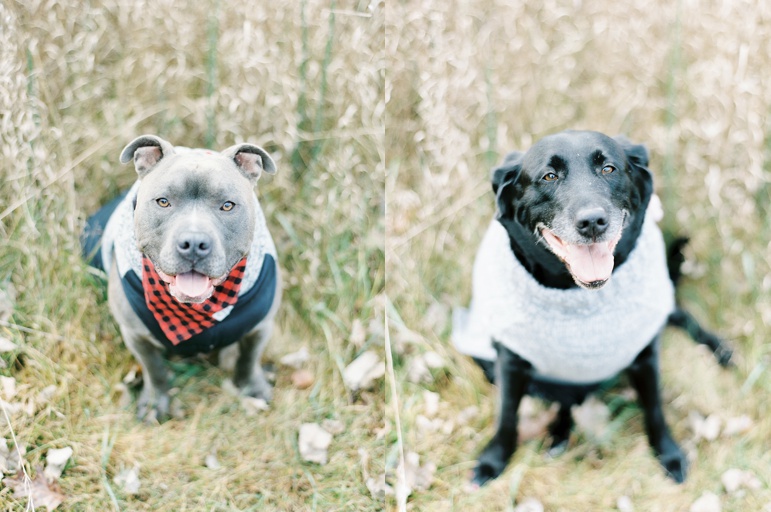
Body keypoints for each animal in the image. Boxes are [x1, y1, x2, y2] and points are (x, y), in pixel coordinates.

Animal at [456, 130, 732, 486]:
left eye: (608, 168)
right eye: (549, 176)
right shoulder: (509, 361)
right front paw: (494, 460)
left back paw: (719, 348)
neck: (575, 294)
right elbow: (506, 415)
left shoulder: (645, 355)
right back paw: (559, 434)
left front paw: (668, 453)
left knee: (679, 314)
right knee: (565, 399)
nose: (592, 221)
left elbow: (655, 408)